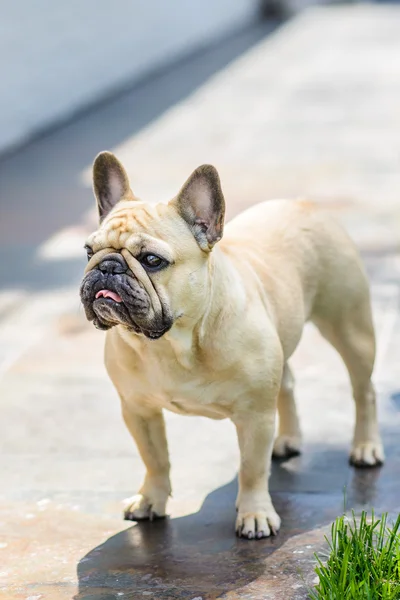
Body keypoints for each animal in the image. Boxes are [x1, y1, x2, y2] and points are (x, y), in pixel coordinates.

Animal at [79, 150, 382, 540]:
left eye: (152, 260)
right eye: (88, 250)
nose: (106, 267)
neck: (172, 343)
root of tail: (303, 203)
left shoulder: (254, 416)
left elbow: (252, 469)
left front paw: (255, 514)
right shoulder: (138, 410)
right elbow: (154, 459)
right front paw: (151, 499)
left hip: (351, 328)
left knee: (364, 390)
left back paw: (366, 447)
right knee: (287, 383)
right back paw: (288, 438)